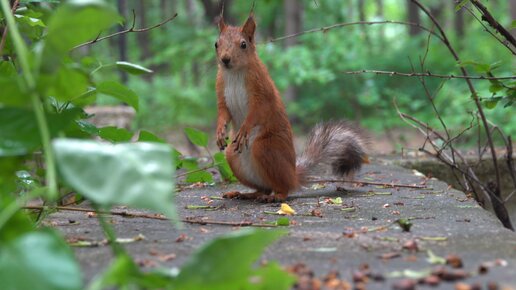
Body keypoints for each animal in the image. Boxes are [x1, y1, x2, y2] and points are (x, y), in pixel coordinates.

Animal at [216, 15, 368, 202]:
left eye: (243, 44)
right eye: (216, 44)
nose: (225, 59)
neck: (235, 73)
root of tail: (293, 176)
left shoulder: (262, 90)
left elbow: (258, 111)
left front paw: (244, 128)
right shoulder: (221, 89)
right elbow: (223, 112)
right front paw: (219, 131)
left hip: (265, 149)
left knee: (282, 188)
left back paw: (276, 196)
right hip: (232, 156)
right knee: (263, 188)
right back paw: (243, 194)